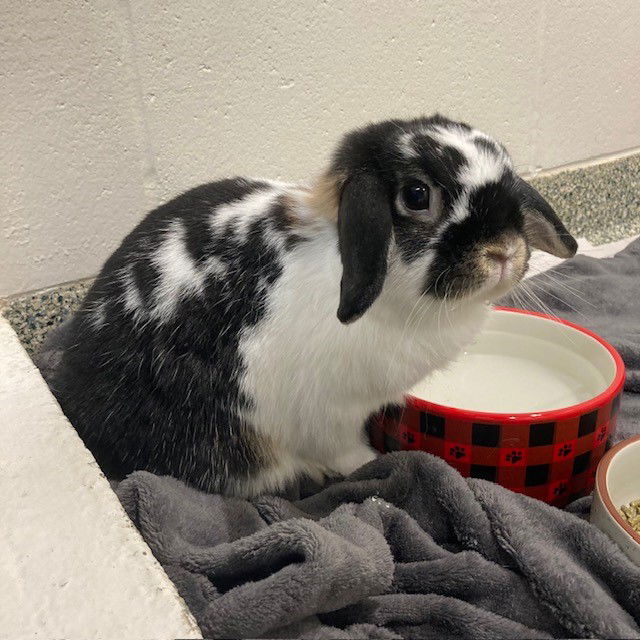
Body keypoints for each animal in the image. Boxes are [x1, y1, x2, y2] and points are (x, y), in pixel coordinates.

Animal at [52, 115, 576, 496]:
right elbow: (343, 450)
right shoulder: (330, 413)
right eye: (417, 195)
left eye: (510, 182)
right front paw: (373, 461)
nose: (504, 252)